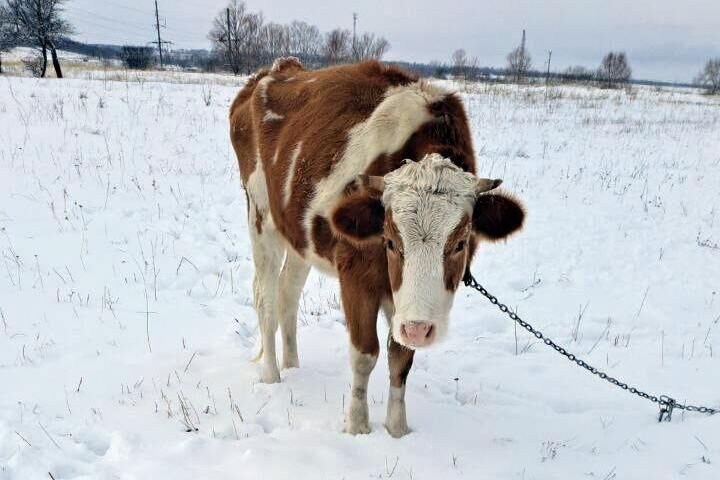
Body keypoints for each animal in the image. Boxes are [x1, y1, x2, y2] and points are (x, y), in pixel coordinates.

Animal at [229, 58, 524, 436]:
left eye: (461, 242)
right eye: (390, 241)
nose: (419, 329)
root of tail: (278, 68)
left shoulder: (404, 303)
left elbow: (401, 358)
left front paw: (397, 430)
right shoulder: (356, 274)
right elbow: (365, 354)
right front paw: (357, 428)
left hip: (299, 235)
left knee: (287, 295)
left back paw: (292, 364)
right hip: (261, 215)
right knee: (265, 296)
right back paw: (271, 374)